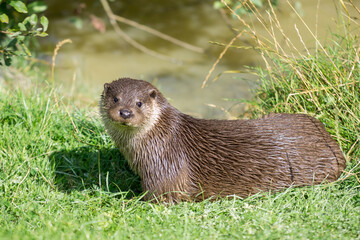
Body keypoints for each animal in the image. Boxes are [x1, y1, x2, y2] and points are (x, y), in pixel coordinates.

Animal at [100, 78, 348, 203]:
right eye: (115, 99)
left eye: (139, 103)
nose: (125, 112)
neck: (160, 138)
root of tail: (331, 142)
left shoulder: (167, 170)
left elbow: (160, 197)